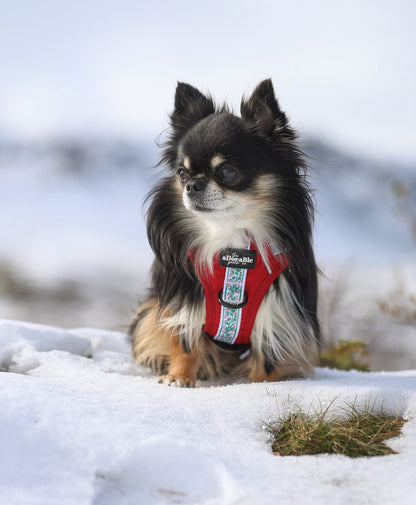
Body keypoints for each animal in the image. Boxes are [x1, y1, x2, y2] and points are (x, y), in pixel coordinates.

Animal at [128, 79, 320, 386]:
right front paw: (179, 377)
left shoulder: (277, 314)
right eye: (182, 173)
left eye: (227, 172)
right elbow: (186, 343)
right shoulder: (187, 300)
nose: (191, 185)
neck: (231, 241)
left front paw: (261, 386)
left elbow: (267, 359)